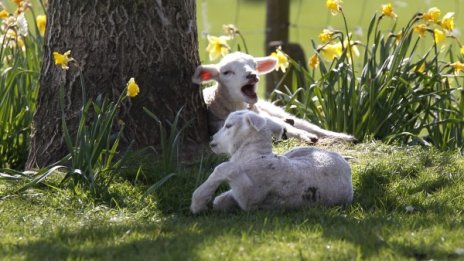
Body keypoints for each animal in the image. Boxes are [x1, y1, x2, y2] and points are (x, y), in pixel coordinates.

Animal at [190, 109, 354, 213]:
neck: (255, 157)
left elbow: (223, 167)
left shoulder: (250, 198)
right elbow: (220, 201)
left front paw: (198, 202)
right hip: (294, 152)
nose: (212, 140)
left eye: (228, 125)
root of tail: (344, 161)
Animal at [192, 50, 356, 142]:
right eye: (226, 72)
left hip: (273, 109)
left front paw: (304, 134)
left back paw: (343, 136)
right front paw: (303, 135)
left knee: (306, 124)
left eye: (254, 65)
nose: (252, 75)